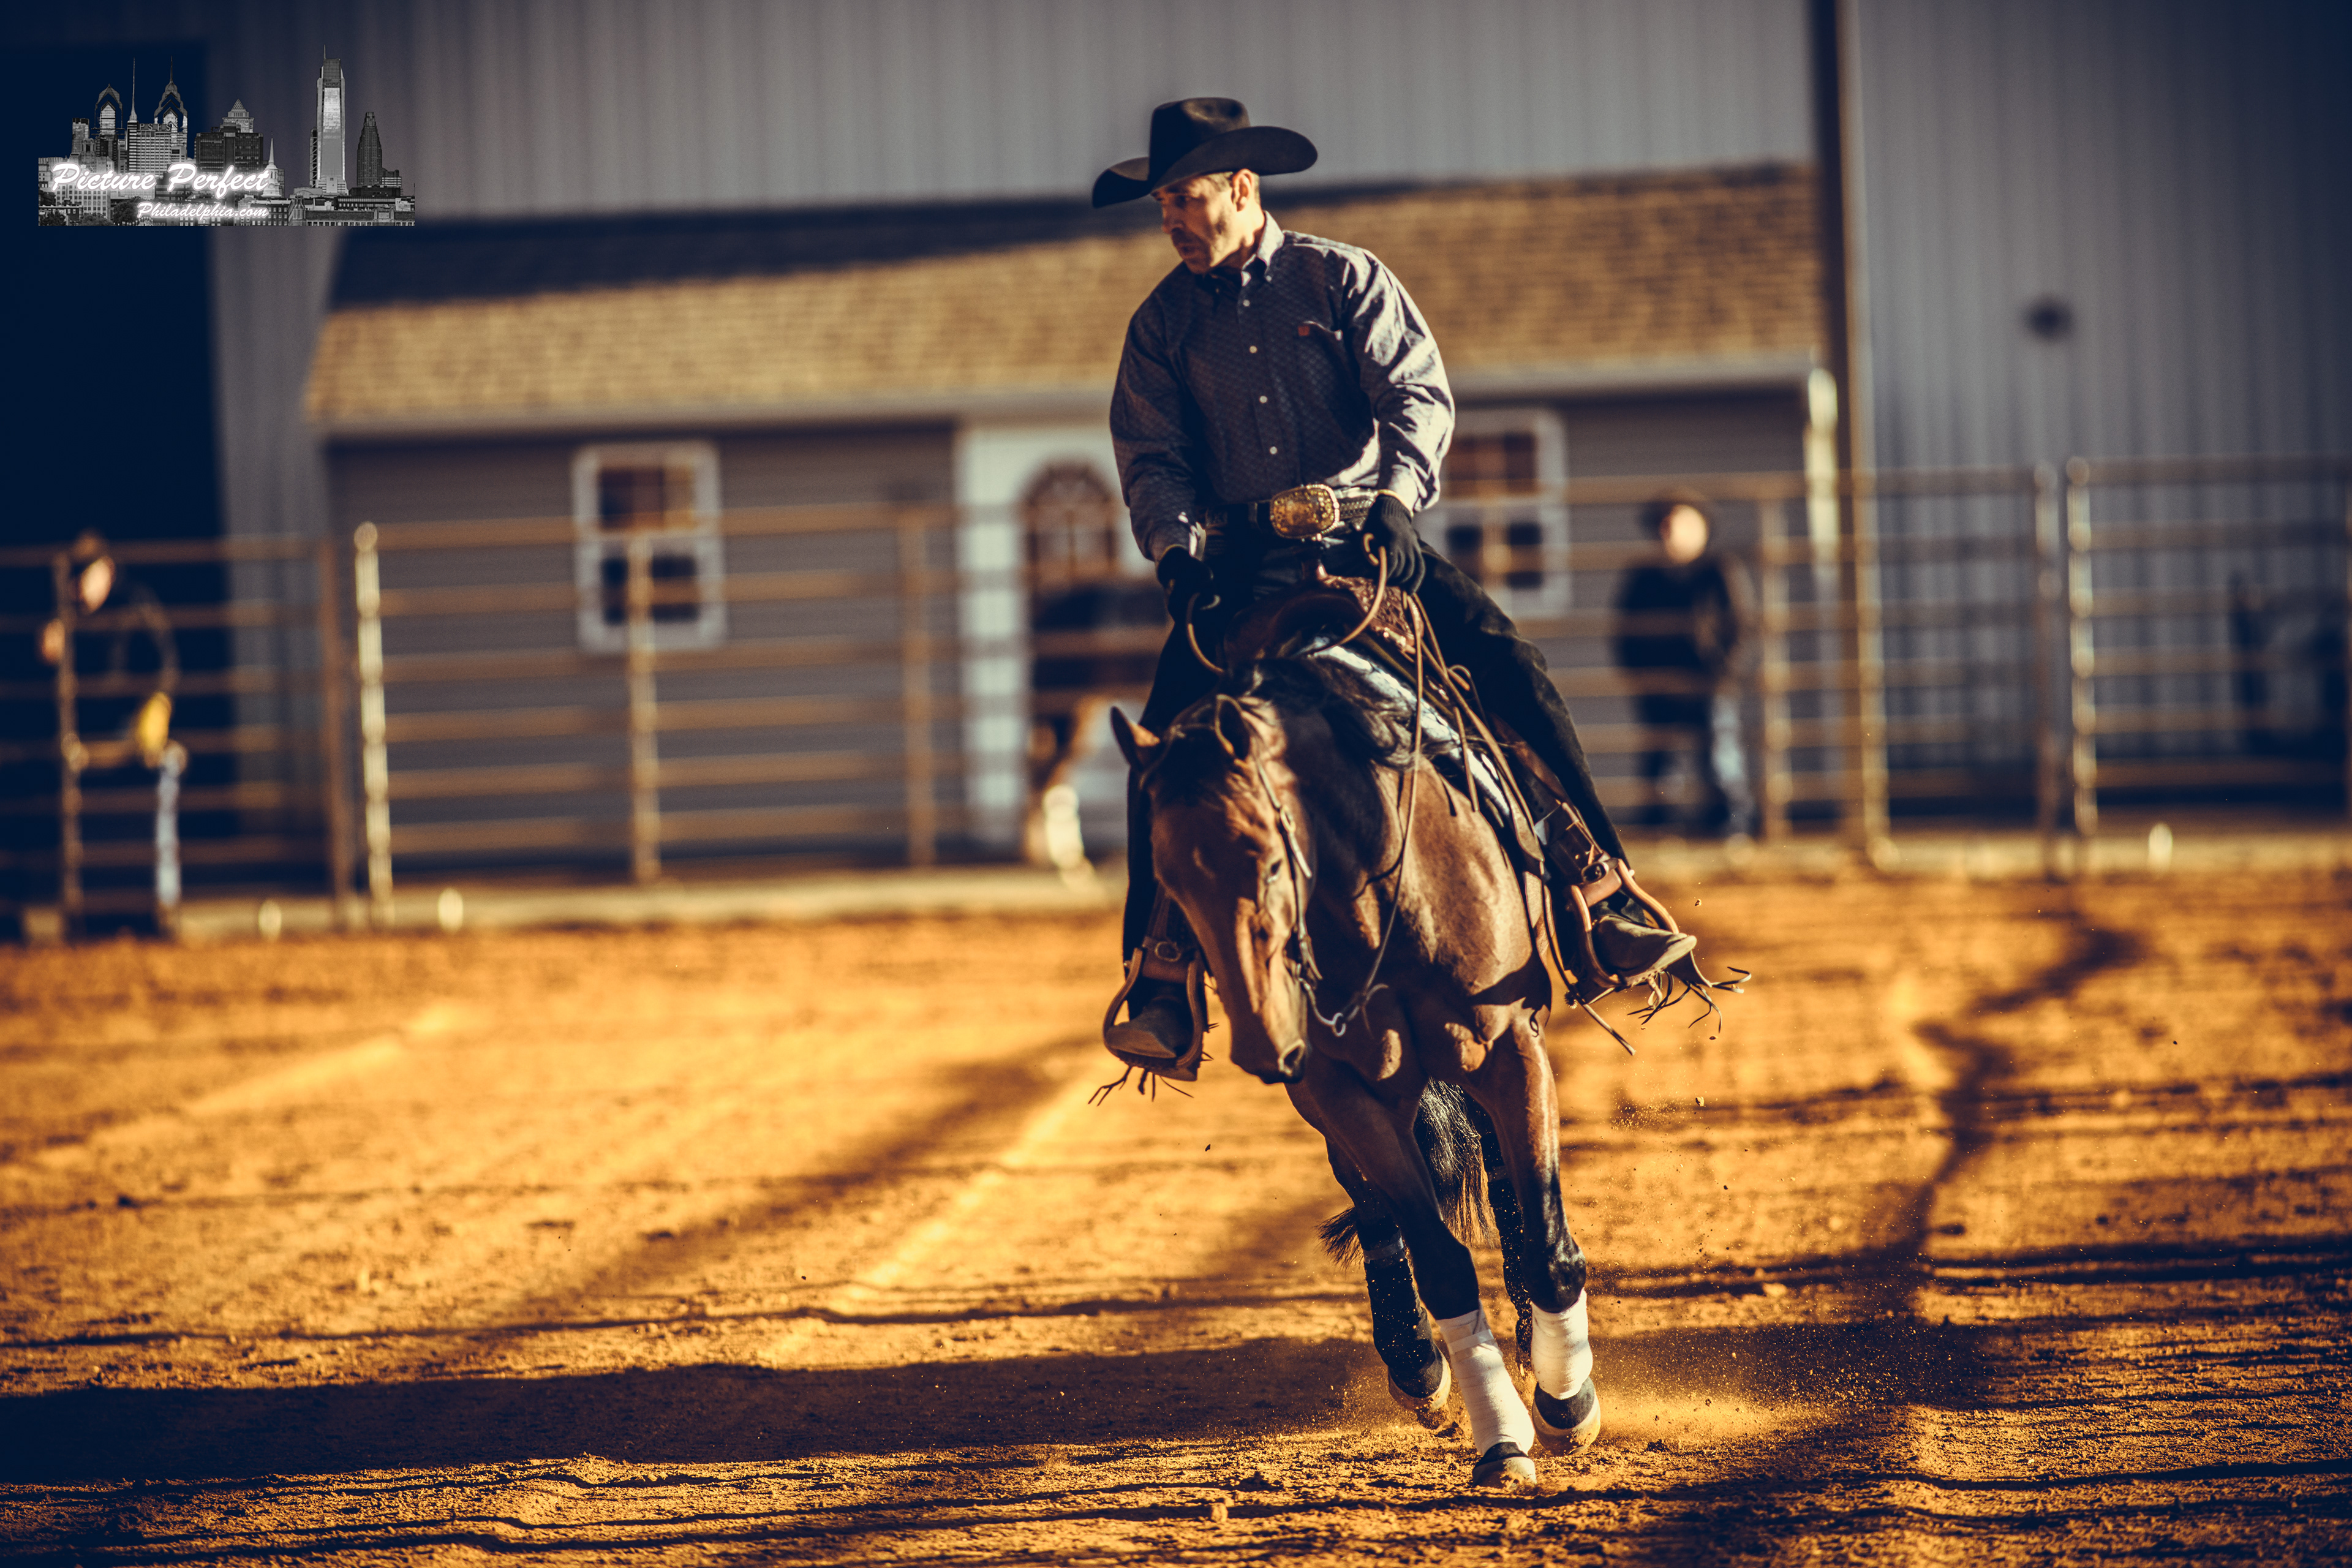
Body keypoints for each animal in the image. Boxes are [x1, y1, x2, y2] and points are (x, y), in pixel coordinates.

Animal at [1109, 581, 1605, 1493]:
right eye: (1168, 879)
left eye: (1270, 860)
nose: (1262, 1042)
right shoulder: (1339, 1089)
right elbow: (1434, 1253)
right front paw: (1501, 1436)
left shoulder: (1509, 1046)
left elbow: (1545, 1233)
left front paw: (1566, 1399)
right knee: (1381, 1214)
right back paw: (1417, 1367)